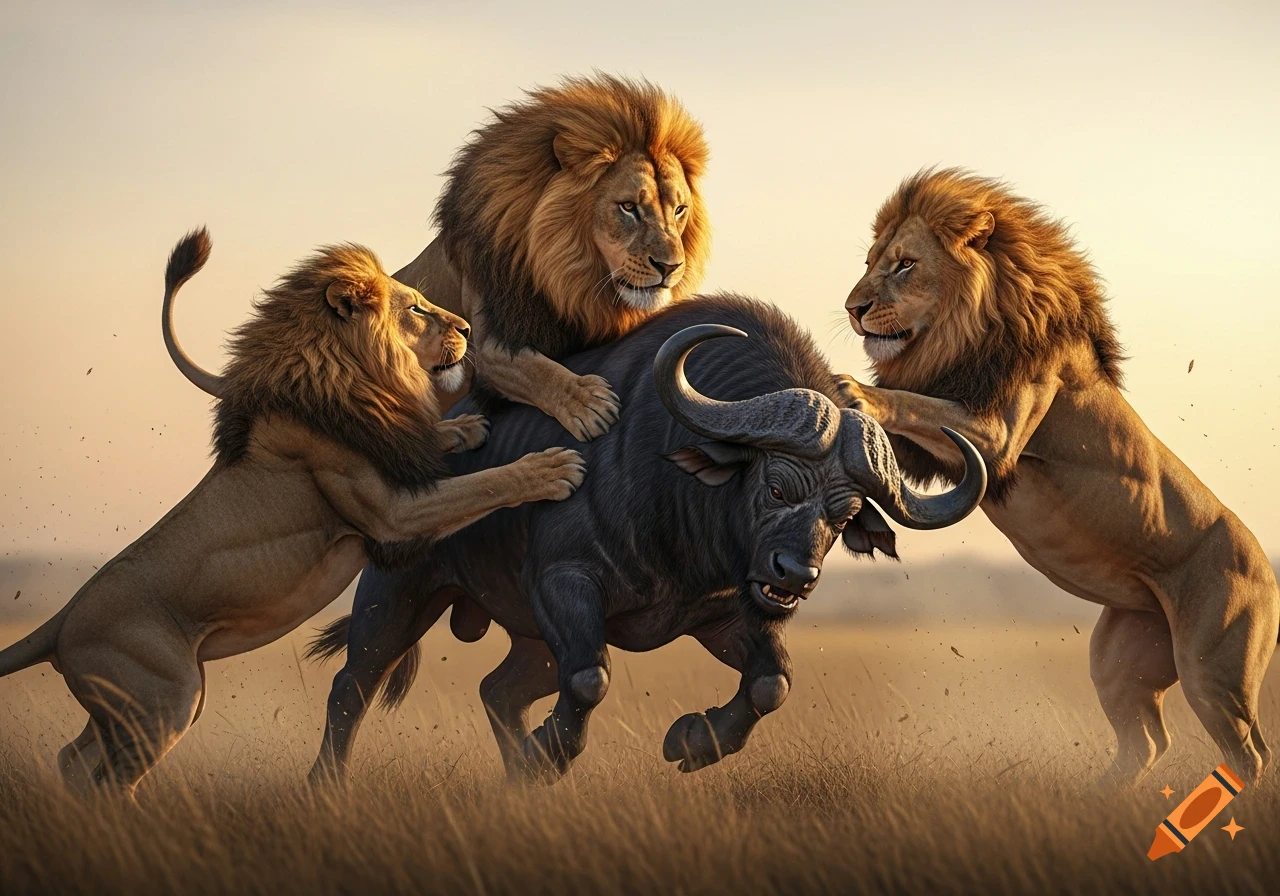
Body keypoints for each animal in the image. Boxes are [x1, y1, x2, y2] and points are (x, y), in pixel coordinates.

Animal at [0, 228, 585, 793]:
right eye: (417, 308)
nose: (466, 327)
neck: (352, 374)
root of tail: (61, 621)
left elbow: (436, 448)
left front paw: (462, 428)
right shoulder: (391, 515)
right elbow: (478, 487)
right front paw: (548, 469)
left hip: (127, 708)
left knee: (73, 758)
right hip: (166, 699)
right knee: (107, 780)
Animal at [308, 294, 985, 780]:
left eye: (844, 517)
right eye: (774, 488)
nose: (796, 577)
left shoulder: (723, 616)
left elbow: (772, 683)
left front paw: (692, 740)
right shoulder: (564, 583)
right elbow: (592, 678)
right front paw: (548, 755)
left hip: (533, 641)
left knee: (498, 690)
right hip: (398, 592)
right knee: (352, 686)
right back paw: (328, 784)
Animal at [393, 73, 711, 441]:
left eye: (679, 210)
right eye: (628, 207)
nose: (670, 267)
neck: (567, 279)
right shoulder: (489, 344)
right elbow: (534, 368)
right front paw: (587, 403)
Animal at [836, 168, 1279, 785]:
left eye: (905, 264)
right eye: (871, 261)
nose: (853, 308)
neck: (964, 332)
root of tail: (1268, 569)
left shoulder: (995, 434)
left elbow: (914, 401)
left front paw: (854, 389)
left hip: (1213, 670)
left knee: (1249, 753)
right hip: (1120, 656)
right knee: (1147, 741)